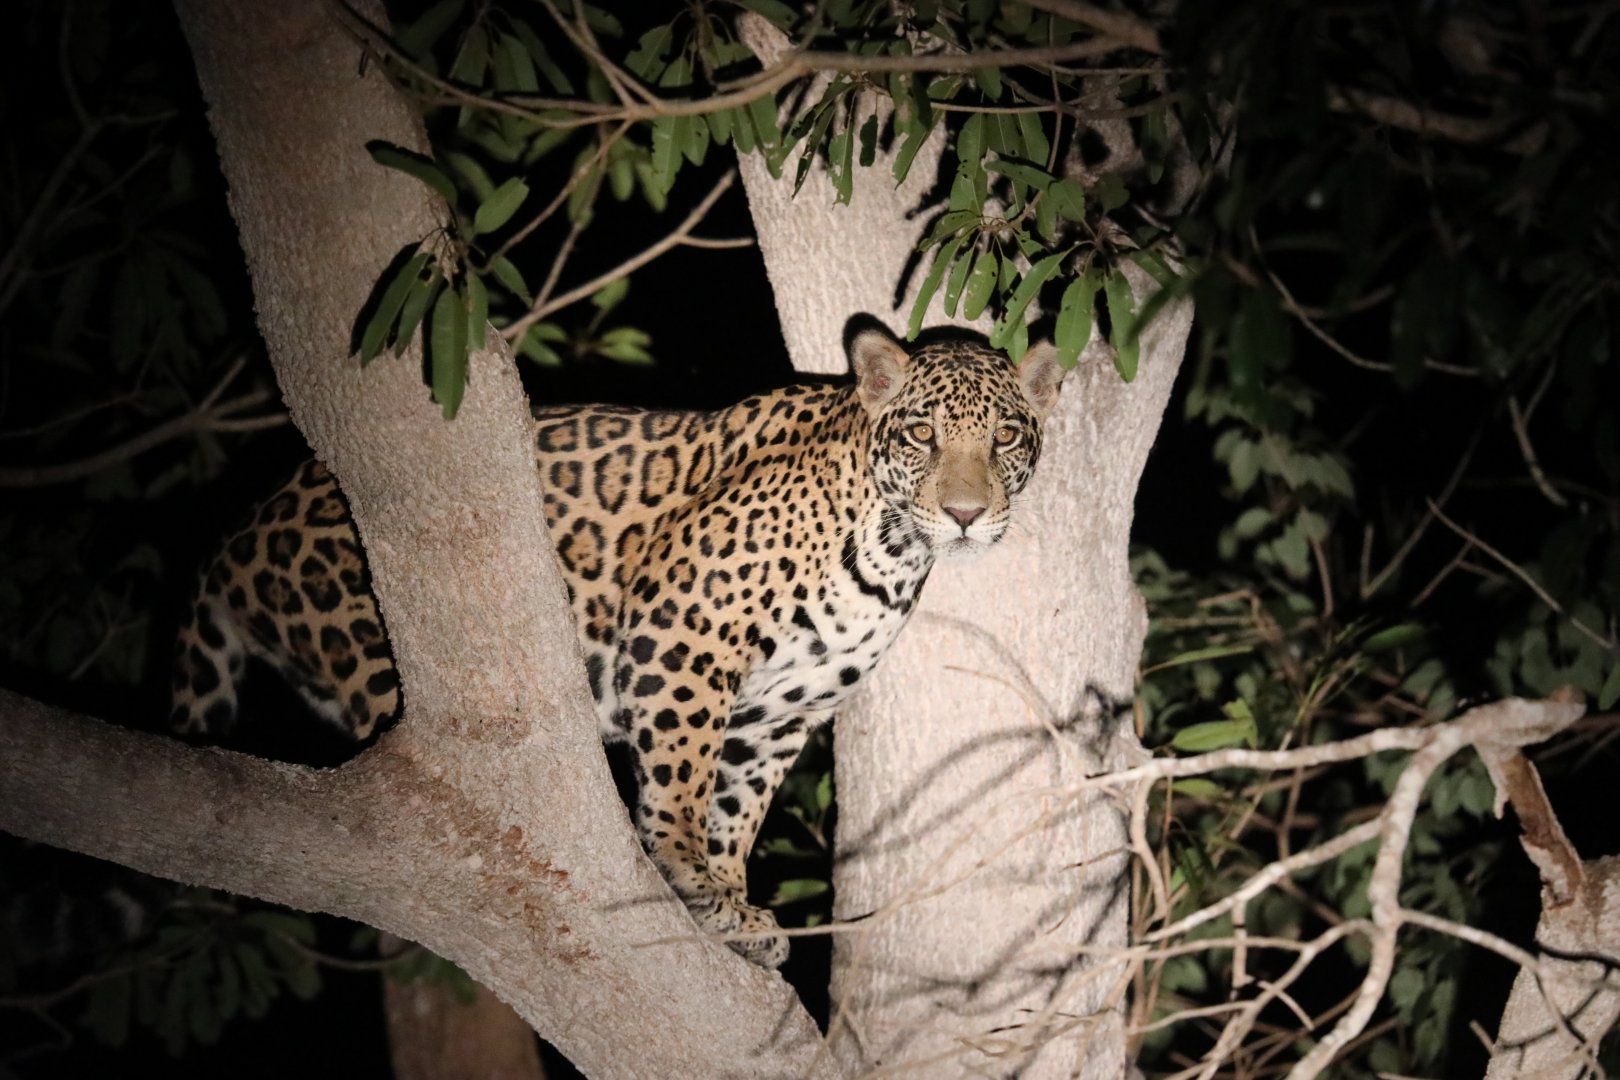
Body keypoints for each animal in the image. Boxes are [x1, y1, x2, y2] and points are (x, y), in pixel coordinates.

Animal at [170, 327, 1067, 967]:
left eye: (1006, 439)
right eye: (919, 433)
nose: (964, 514)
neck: (891, 550)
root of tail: (237, 538)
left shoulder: (783, 710)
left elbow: (739, 808)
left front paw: (733, 899)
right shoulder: (683, 634)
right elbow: (683, 780)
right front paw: (688, 876)